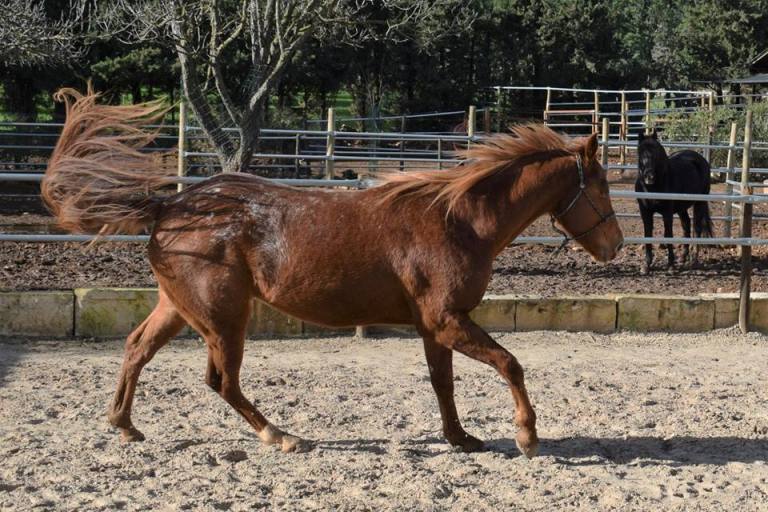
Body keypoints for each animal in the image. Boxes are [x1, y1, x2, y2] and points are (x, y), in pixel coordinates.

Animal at [41, 88, 623, 459]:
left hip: (181, 307)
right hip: (224, 316)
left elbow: (443, 383)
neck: (456, 221)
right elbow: (510, 364)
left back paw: (124, 426)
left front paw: (462, 438)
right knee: (222, 381)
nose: (616, 245)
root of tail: (169, 207)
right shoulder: (447, 319)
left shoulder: (433, 324)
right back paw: (282, 436)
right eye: (599, 185)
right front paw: (527, 437)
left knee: (138, 348)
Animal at [636, 131, 713, 274]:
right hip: (682, 208)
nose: (649, 177)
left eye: (656, 152)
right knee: (686, 224)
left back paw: (693, 261)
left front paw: (671, 265)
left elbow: (668, 235)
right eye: (640, 152)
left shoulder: (667, 213)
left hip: (699, 203)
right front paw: (646, 265)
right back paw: (682, 257)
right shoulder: (645, 212)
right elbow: (647, 234)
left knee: (697, 228)